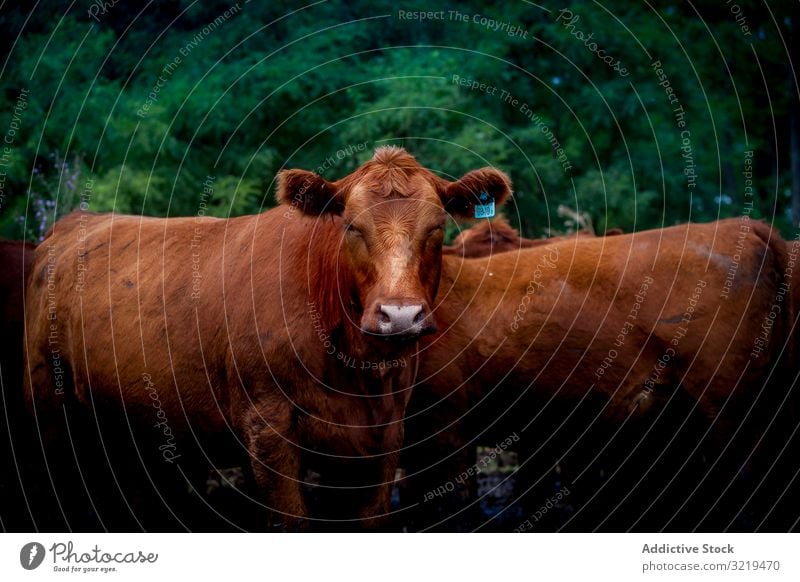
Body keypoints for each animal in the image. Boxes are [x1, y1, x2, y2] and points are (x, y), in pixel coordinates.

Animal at [25, 147, 516, 532]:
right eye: (352, 226)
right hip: (47, 406)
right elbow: (289, 521)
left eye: (436, 227)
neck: (358, 370)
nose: (399, 315)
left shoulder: (385, 436)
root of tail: (72, 224)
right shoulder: (268, 430)